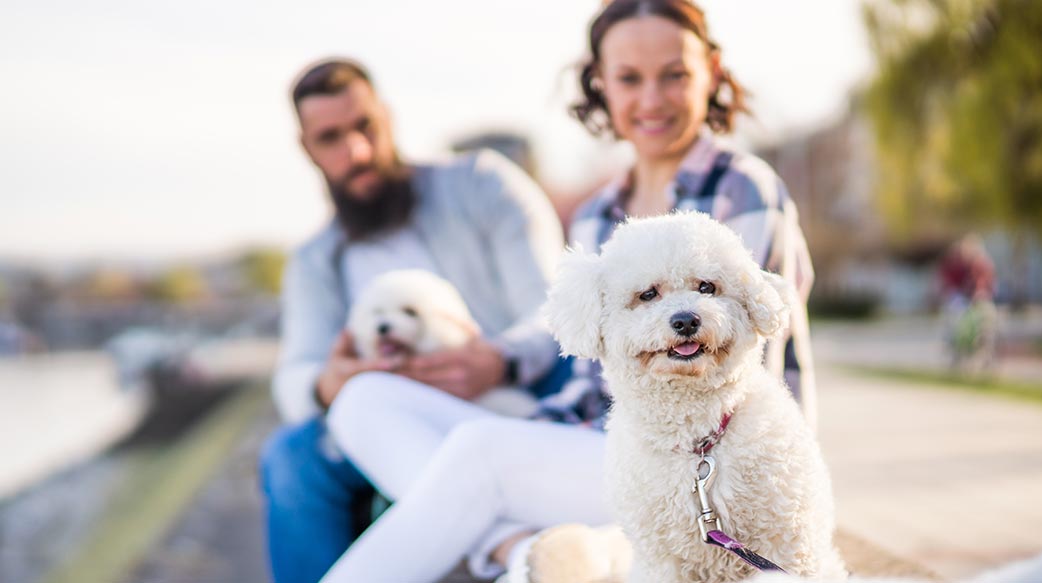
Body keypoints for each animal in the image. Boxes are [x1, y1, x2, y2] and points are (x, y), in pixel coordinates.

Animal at [546, 213, 846, 583]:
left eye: (706, 287)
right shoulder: (659, 559)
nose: (686, 320)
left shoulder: (786, 544)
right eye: (648, 294)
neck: (697, 438)